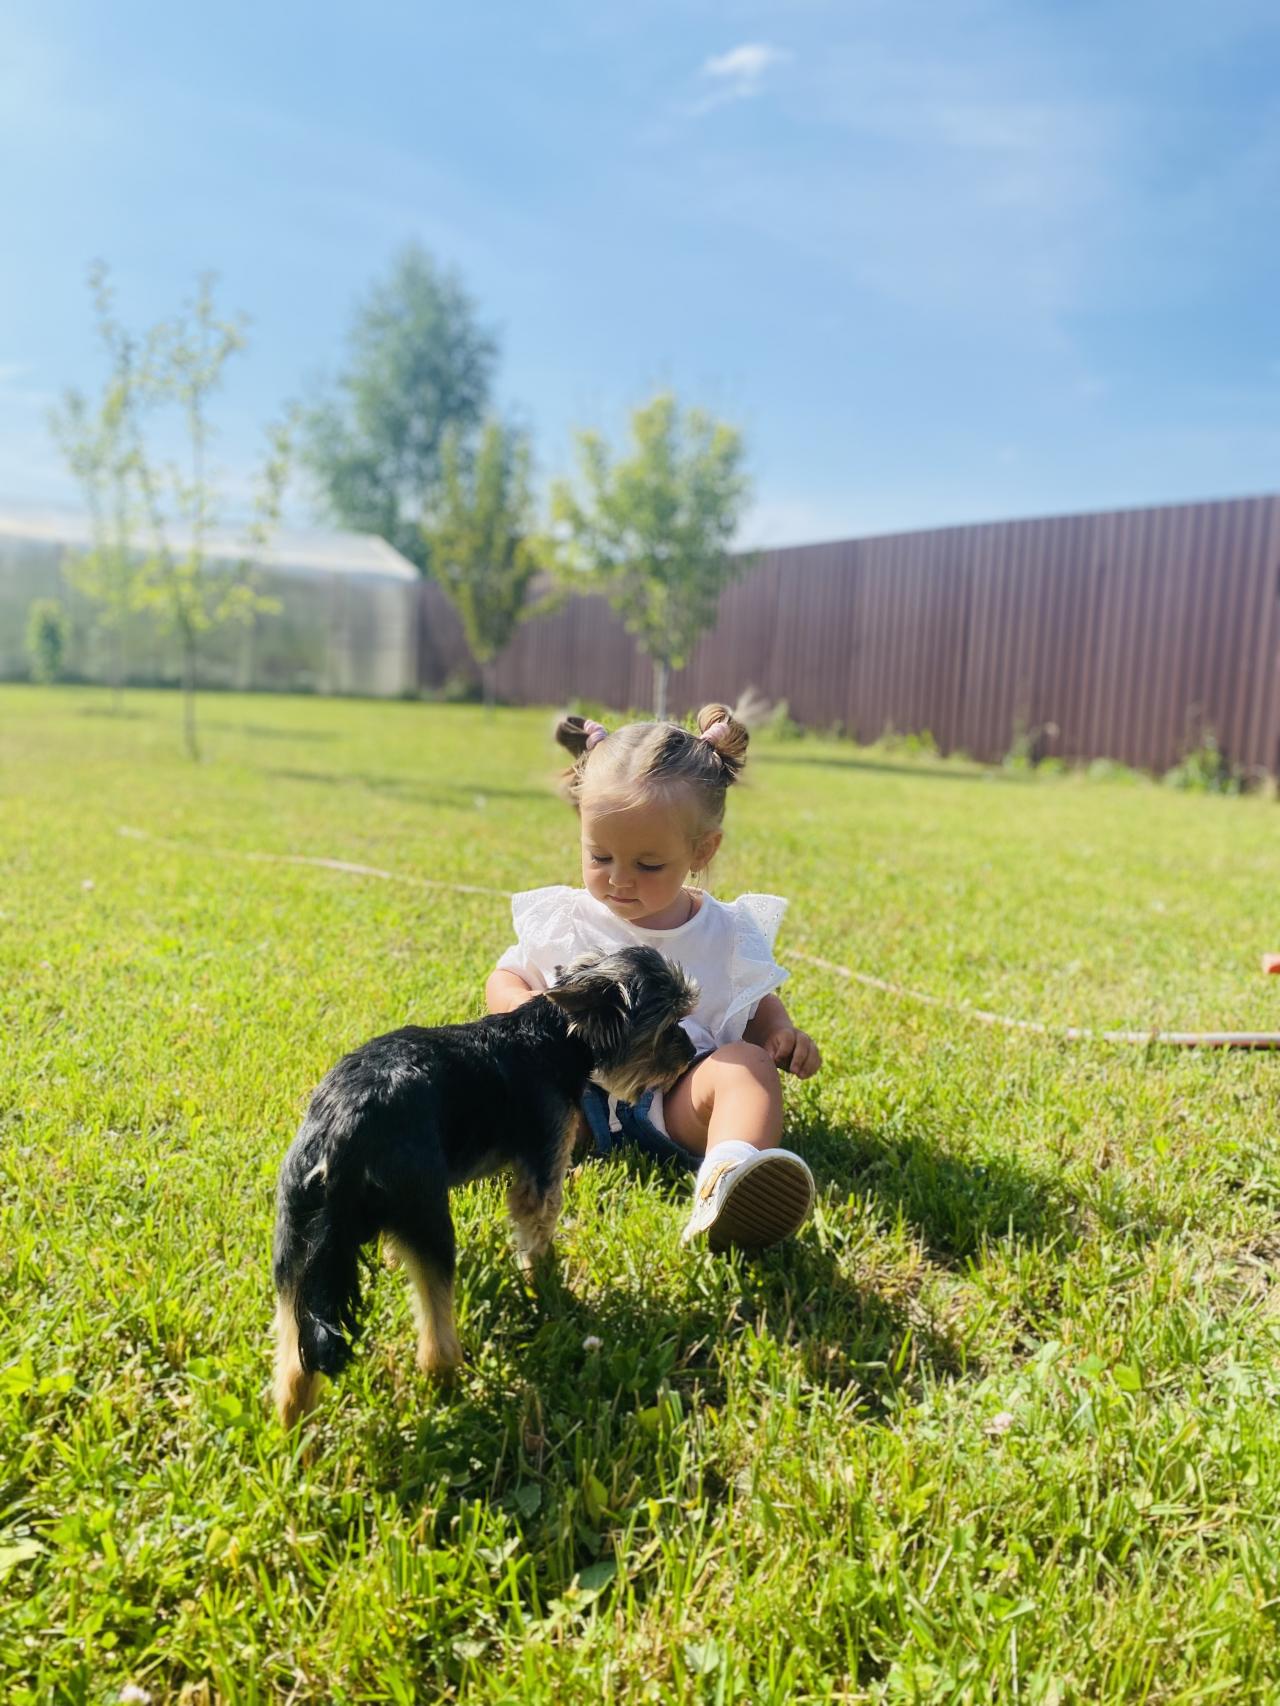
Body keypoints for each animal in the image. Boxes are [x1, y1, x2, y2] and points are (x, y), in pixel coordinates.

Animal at [272, 946, 698, 1428]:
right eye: (669, 1024)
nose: (691, 1052)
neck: (556, 1034)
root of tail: (341, 1130)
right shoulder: (544, 1159)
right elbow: (538, 1232)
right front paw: (548, 1288)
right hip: (424, 1212)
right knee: (436, 1340)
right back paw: (449, 1390)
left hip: (296, 1232)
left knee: (294, 1356)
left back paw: (294, 1434)